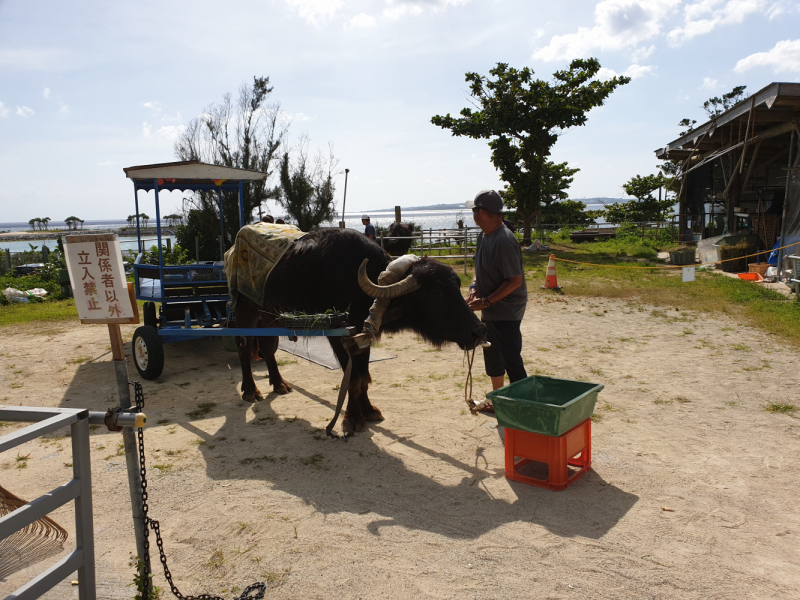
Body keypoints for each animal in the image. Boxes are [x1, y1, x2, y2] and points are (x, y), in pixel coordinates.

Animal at [231, 227, 488, 434]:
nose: (479, 330)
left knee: (268, 348)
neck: (358, 288)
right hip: (245, 310)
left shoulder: (364, 337)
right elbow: (353, 378)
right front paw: (352, 419)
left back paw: (279, 384)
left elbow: (364, 376)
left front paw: (368, 410)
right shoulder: (339, 338)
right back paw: (250, 390)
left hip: (269, 316)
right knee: (244, 347)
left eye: (457, 286)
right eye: (436, 292)